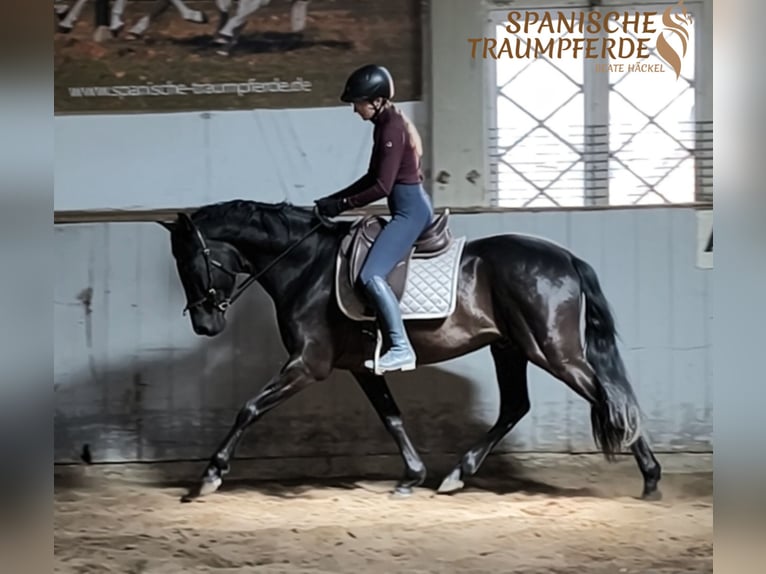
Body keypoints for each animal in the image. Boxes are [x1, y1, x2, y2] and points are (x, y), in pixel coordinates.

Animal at [158, 199, 662, 503]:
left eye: (190, 262)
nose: (205, 324)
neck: (308, 267)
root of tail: (565, 259)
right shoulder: (362, 367)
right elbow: (391, 416)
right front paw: (413, 475)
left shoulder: (308, 364)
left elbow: (248, 408)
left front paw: (209, 477)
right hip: (510, 348)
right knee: (516, 406)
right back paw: (456, 474)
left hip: (552, 352)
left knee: (609, 399)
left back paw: (652, 477)